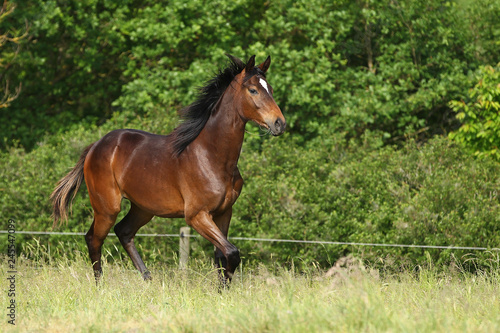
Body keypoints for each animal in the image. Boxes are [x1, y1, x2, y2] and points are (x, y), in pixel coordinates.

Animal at [51, 54, 286, 282]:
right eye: (253, 90)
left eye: (271, 90)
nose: (279, 124)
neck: (212, 158)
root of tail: (95, 146)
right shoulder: (197, 216)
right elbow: (232, 253)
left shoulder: (224, 212)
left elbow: (222, 257)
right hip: (107, 208)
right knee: (94, 239)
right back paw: (101, 287)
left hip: (143, 208)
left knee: (124, 232)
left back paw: (148, 279)